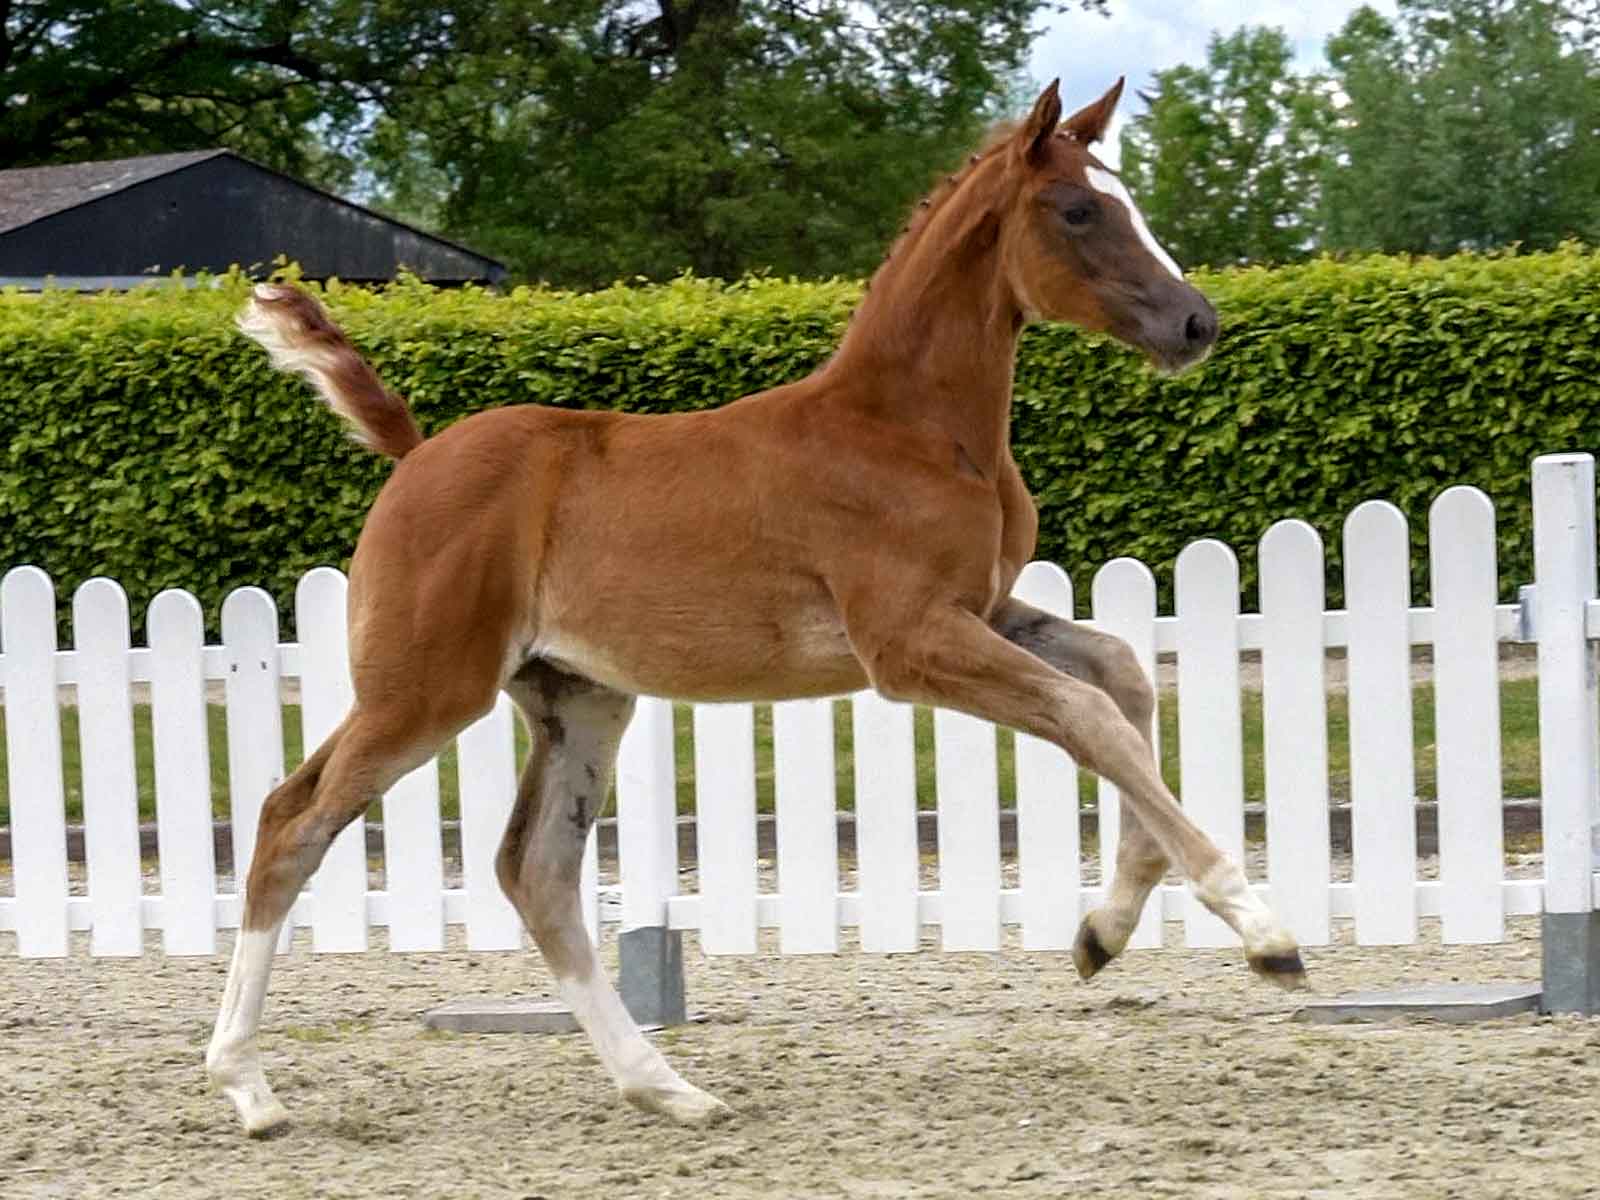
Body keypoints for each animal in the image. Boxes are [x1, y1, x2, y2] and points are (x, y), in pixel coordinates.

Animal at [206, 82, 1305, 1139]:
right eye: (1078, 210)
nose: (1196, 324)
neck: (909, 429)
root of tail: (416, 452)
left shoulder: (980, 611)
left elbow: (1120, 675)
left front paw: (1102, 932)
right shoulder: (908, 644)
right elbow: (1089, 717)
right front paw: (1261, 929)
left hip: (577, 699)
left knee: (536, 872)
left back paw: (666, 1089)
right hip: (423, 691)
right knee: (291, 820)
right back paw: (249, 1089)